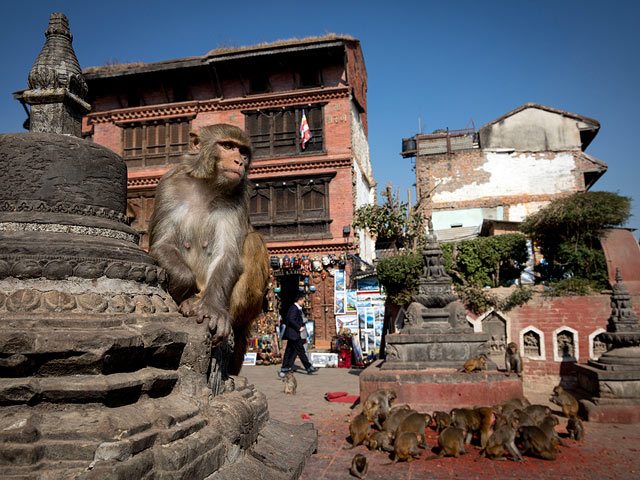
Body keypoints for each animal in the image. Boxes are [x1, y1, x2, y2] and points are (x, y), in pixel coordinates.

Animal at [149, 124, 268, 376]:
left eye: (243, 152)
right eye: (228, 146)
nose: (239, 162)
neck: (207, 186)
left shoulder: (237, 198)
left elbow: (227, 255)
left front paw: (213, 309)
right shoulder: (168, 186)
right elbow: (161, 244)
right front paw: (184, 288)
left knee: (253, 241)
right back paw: (189, 302)